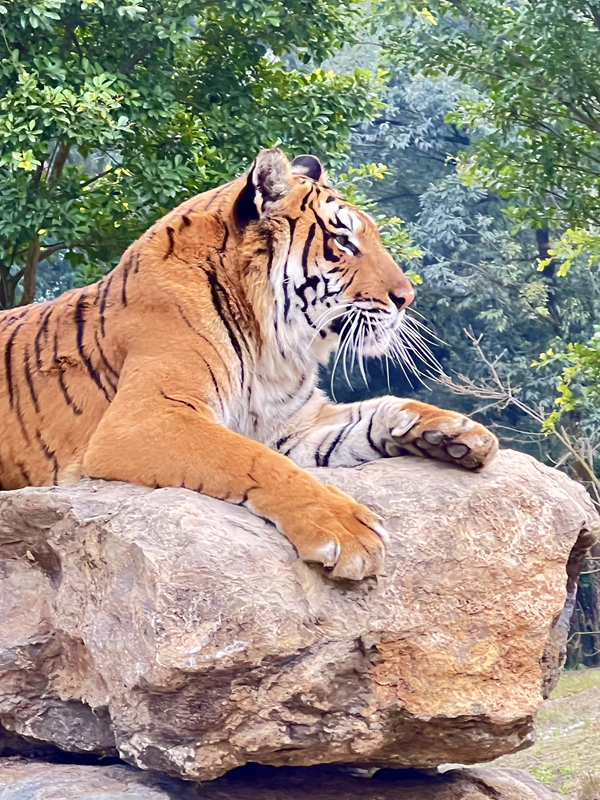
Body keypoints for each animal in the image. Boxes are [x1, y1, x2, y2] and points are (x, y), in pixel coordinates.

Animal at [0, 147, 496, 580]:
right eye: (342, 240)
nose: (406, 298)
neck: (272, 348)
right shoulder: (145, 417)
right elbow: (254, 460)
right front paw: (347, 531)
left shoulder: (292, 426)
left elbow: (374, 413)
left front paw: (453, 433)